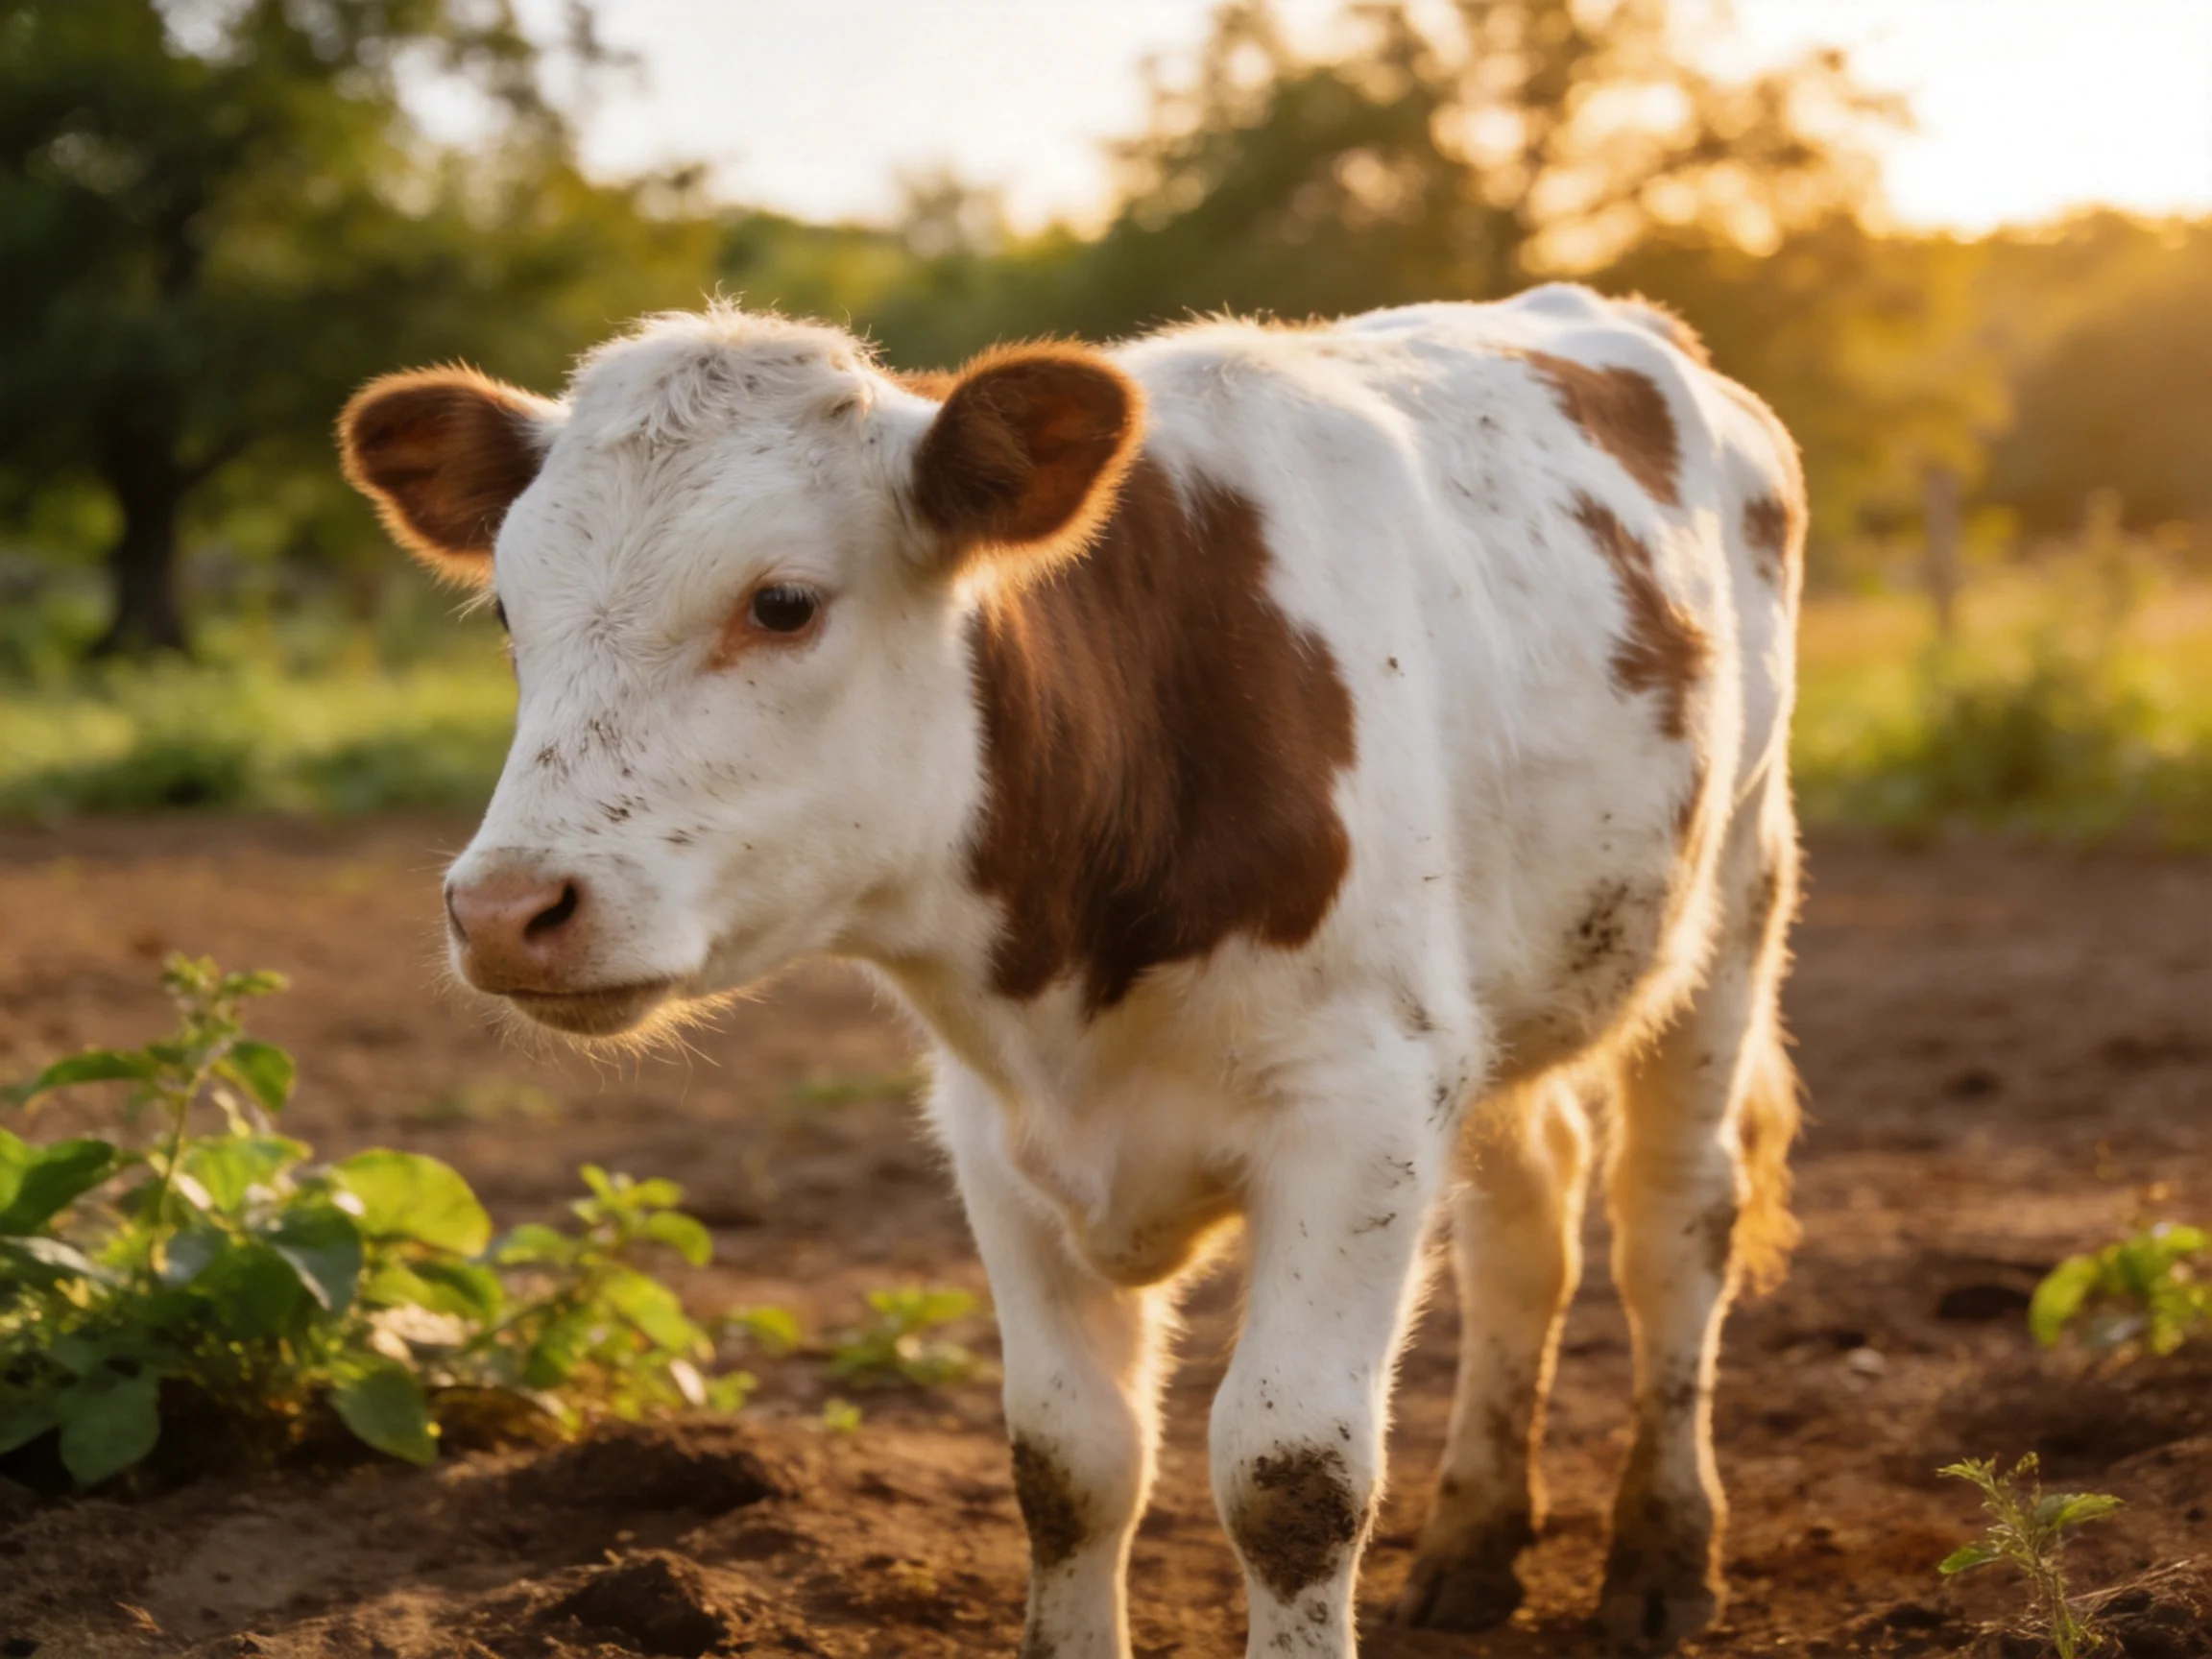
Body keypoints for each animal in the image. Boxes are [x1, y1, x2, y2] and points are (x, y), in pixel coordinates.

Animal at [338, 282, 1805, 1658]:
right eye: (510, 614)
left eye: (782, 602)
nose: (508, 907)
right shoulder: (994, 1134)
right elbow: (1069, 1461)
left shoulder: (1365, 1103)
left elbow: (1291, 1475)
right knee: (1526, 1222)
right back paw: (1475, 1543)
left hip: (1734, 891)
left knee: (1670, 1224)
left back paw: (1661, 1556)